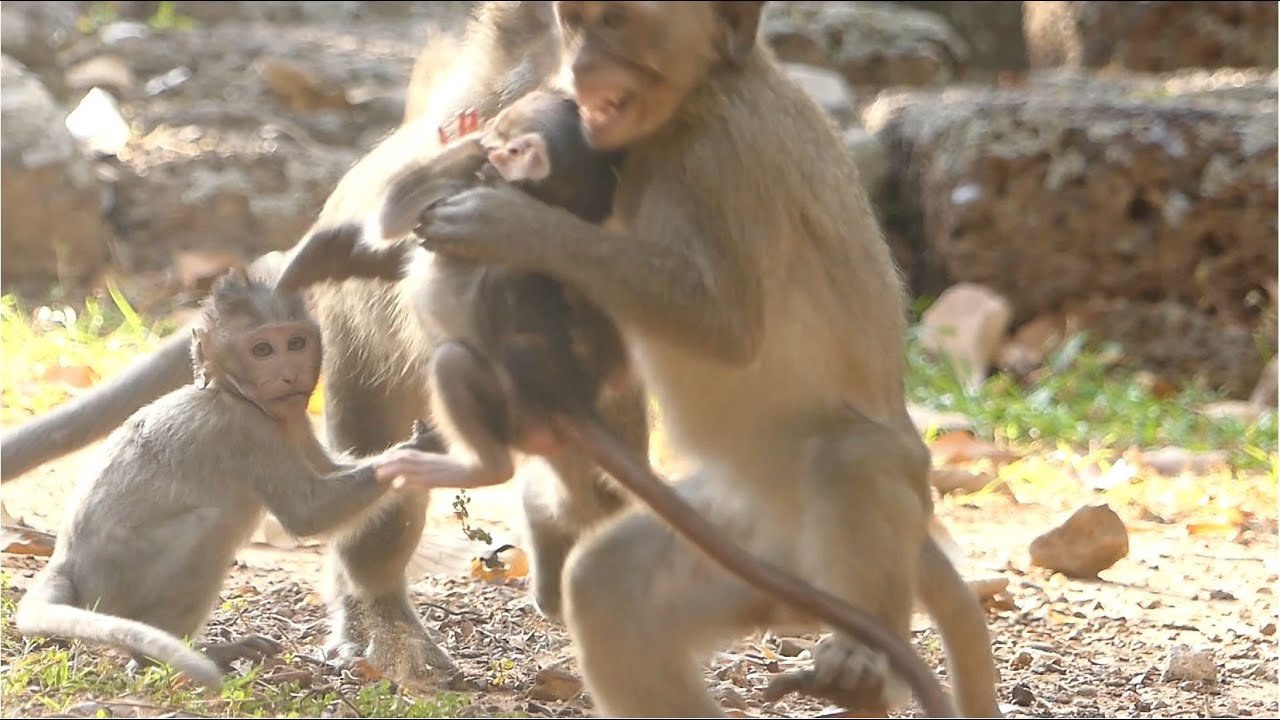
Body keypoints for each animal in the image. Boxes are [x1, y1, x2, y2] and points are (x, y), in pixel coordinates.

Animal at [13, 270, 437, 692]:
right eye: (262, 350)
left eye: (296, 343)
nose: (289, 374)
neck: (233, 392)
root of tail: (66, 562)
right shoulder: (248, 431)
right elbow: (307, 514)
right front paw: (416, 452)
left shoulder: (292, 420)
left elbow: (329, 468)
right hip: (117, 581)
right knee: (209, 525)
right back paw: (163, 655)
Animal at [402, 2, 1003, 717]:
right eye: (574, 21)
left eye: (616, 22)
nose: (580, 66)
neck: (692, 105)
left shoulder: (724, 161)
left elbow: (728, 327)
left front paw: (512, 224)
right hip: (747, 545)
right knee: (609, 590)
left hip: (867, 509)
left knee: (851, 454)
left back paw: (859, 660)